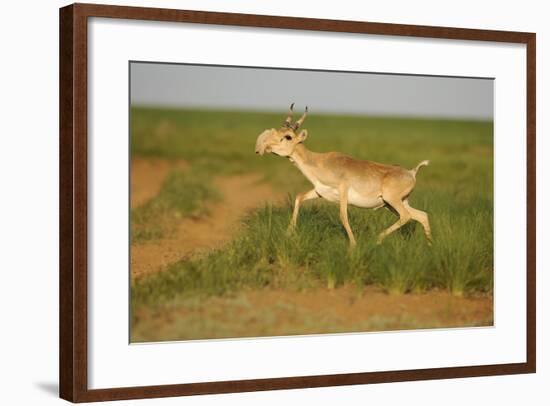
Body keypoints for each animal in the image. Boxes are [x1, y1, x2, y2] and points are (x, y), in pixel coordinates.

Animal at [256, 103, 434, 246]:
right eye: (279, 131)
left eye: (288, 136)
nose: (264, 147)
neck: (321, 162)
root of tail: (411, 172)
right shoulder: (319, 192)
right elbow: (299, 197)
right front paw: (288, 233)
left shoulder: (343, 193)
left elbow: (343, 216)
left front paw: (353, 245)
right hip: (394, 204)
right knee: (421, 215)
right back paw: (429, 247)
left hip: (392, 201)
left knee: (406, 216)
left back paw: (378, 239)